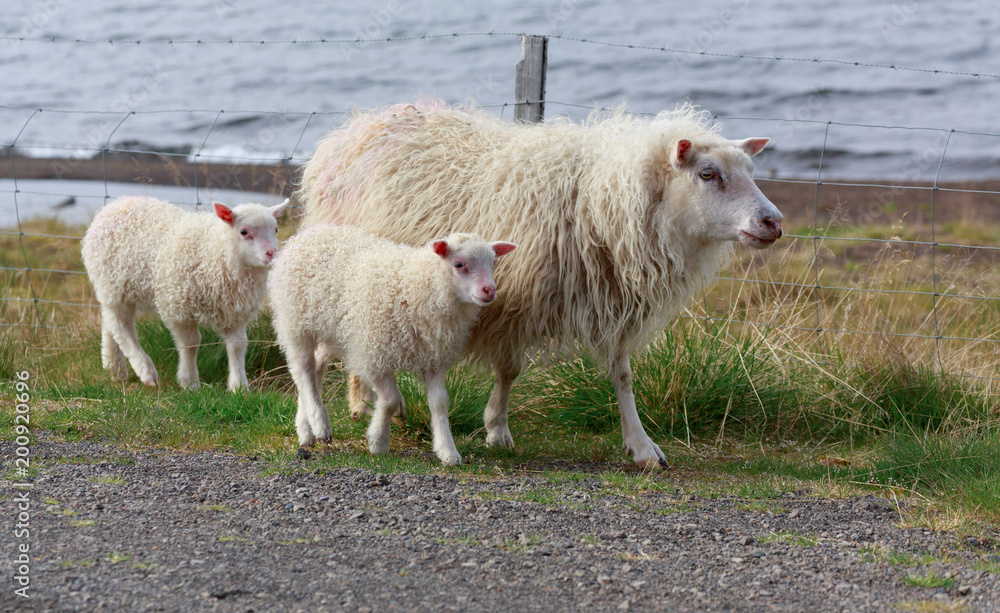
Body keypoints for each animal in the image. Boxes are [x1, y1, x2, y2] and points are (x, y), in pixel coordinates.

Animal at [81, 196, 288, 390]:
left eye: (276, 229)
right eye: (244, 232)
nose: (272, 253)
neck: (217, 251)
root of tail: (116, 204)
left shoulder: (234, 312)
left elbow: (237, 346)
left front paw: (239, 386)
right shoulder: (178, 307)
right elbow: (191, 343)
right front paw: (190, 382)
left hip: (114, 289)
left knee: (110, 322)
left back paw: (114, 367)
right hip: (113, 284)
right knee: (121, 326)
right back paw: (145, 371)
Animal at [267, 225, 516, 465]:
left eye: (493, 263)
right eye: (459, 264)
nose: (489, 290)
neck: (417, 287)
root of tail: (307, 233)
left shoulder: (434, 357)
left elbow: (439, 403)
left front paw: (448, 451)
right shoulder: (374, 354)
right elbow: (390, 401)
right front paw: (378, 441)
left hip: (337, 329)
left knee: (315, 367)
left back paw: (306, 428)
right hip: (296, 324)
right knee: (303, 370)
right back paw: (320, 423)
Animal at [297, 101, 784, 469]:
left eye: (750, 169)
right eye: (708, 173)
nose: (774, 222)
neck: (602, 197)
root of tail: (354, 127)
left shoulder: (605, 300)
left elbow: (617, 375)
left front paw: (641, 446)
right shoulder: (513, 299)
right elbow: (509, 369)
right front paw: (497, 427)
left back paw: (357, 403)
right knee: (315, 358)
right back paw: (317, 422)